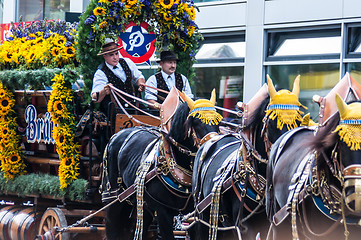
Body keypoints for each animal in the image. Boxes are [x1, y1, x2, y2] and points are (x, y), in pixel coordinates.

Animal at [100, 89, 221, 239]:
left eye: (218, 123)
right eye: (197, 123)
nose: (214, 145)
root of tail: (116, 135)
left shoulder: (194, 214)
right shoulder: (162, 212)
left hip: (141, 203)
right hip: (113, 197)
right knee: (112, 227)